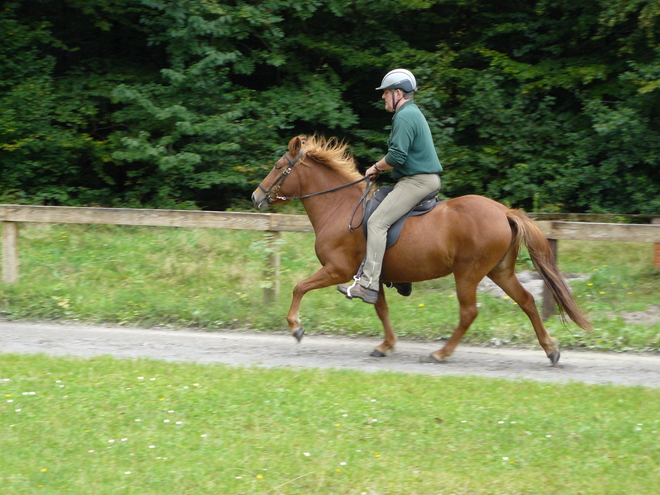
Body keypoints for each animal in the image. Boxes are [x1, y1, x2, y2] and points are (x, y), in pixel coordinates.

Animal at [250, 135, 592, 364]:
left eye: (278, 166)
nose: (256, 196)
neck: (339, 206)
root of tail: (504, 211)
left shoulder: (338, 270)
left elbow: (299, 287)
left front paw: (296, 327)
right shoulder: (373, 276)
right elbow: (381, 308)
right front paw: (386, 345)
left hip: (468, 273)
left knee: (469, 312)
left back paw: (441, 353)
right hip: (499, 271)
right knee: (526, 302)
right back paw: (551, 349)